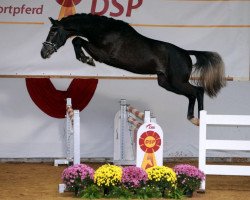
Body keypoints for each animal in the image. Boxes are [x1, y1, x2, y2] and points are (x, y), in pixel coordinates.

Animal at [41, 12, 227, 125]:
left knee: (198, 91)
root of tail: (186, 53)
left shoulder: (102, 54)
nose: (43, 53)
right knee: (192, 94)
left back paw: (200, 119)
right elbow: (77, 40)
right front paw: (84, 59)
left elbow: (77, 40)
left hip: (177, 82)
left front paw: (87, 60)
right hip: (166, 83)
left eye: (53, 32)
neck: (103, 30)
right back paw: (192, 118)